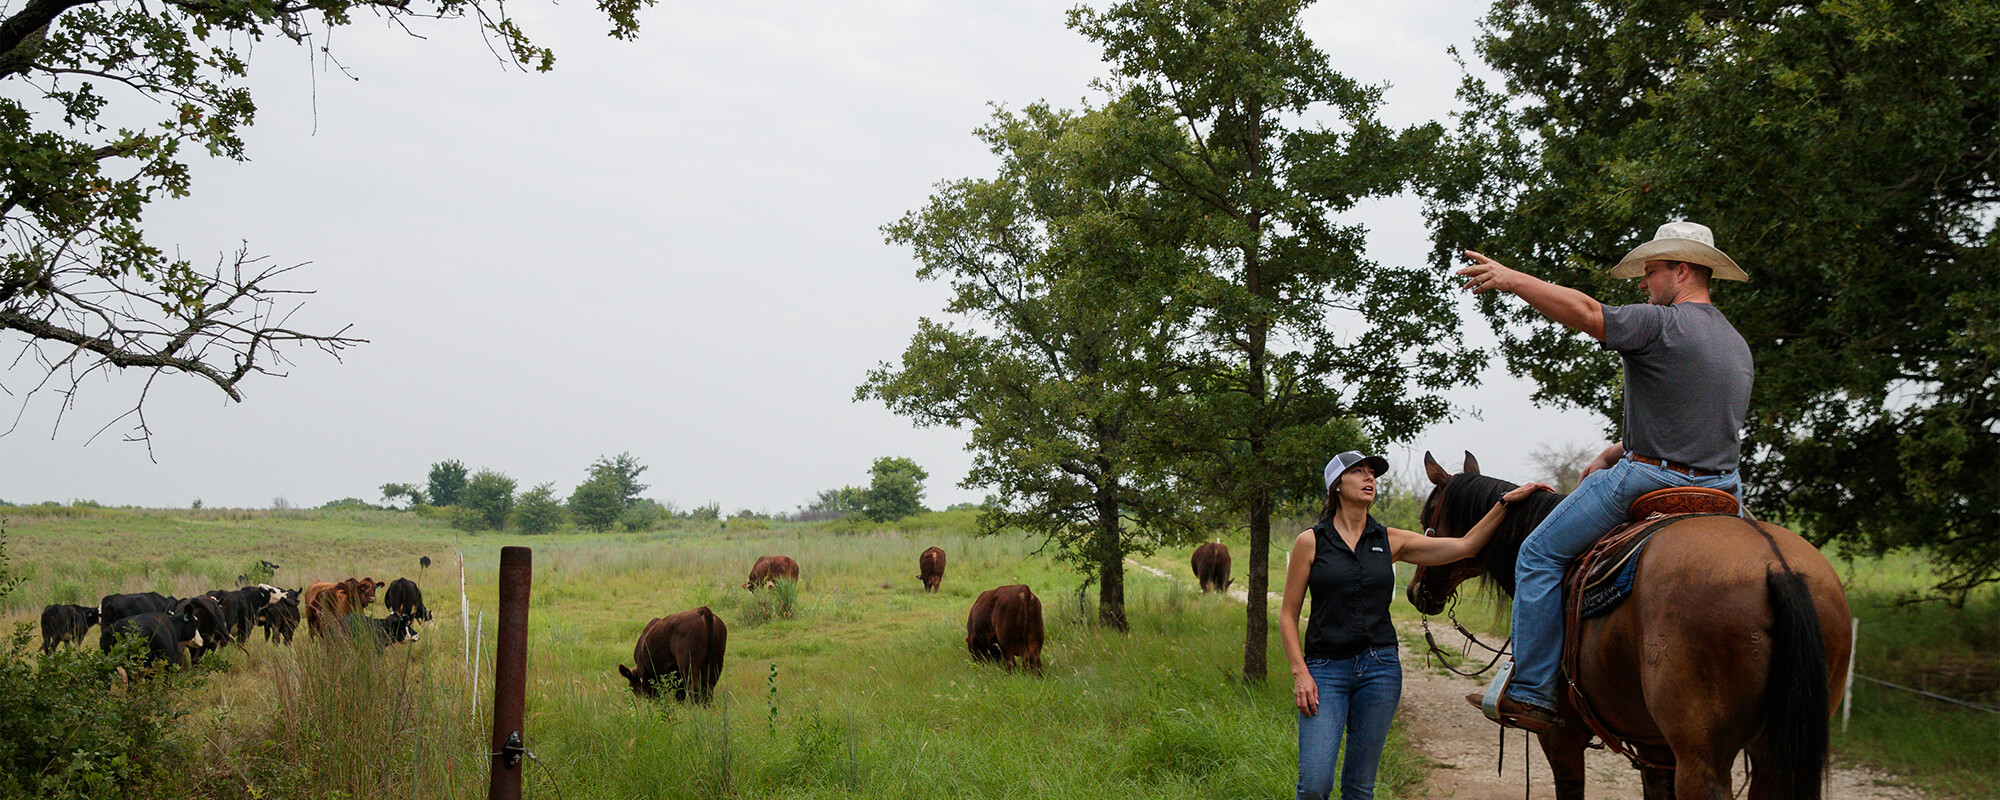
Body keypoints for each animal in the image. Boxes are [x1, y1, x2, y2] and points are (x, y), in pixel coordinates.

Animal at [1408, 450, 1840, 800]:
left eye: (1427, 516)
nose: (1414, 592)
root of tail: (1775, 564)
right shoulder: (1653, 746)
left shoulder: (1561, 735)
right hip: (1773, 754)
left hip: (1703, 758)